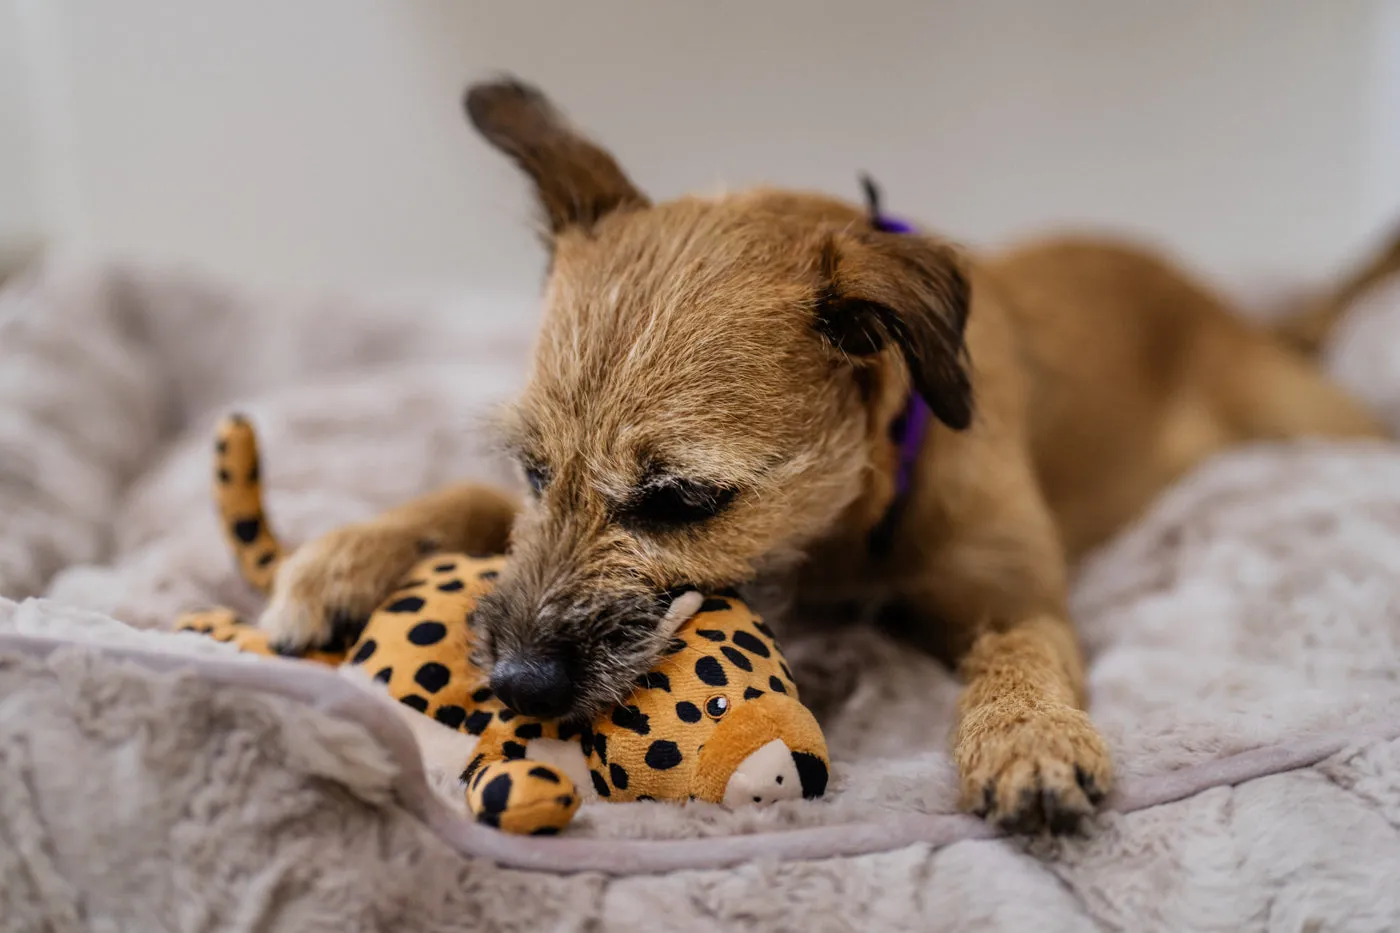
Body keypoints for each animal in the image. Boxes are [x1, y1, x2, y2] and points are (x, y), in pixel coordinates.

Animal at [257, 74, 1394, 829]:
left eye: (682, 500)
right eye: (532, 469)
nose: (517, 683)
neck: (851, 518)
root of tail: (1235, 311)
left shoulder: (1022, 598)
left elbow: (1019, 653)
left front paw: (1027, 738)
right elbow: (462, 501)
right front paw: (341, 557)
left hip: (1302, 415)